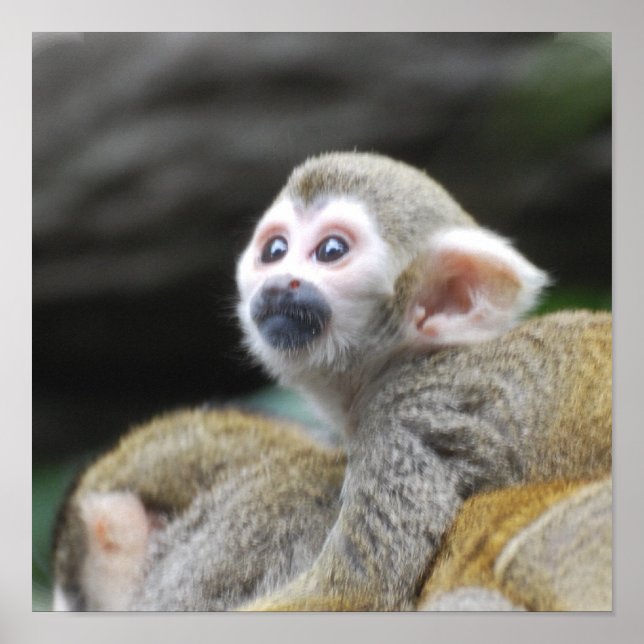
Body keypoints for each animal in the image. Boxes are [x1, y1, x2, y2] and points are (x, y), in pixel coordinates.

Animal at [235, 151, 611, 610]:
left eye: (330, 251)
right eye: (274, 250)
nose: (277, 284)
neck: (398, 363)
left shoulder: (406, 422)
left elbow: (357, 592)